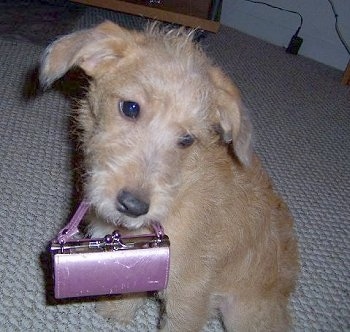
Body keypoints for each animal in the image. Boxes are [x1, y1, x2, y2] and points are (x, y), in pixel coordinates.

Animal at [40, 21, 298, 332]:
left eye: (187, 139)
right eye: (130, 108)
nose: (134, 206)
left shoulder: (189, 292)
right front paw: (117, 311)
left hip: (242, 313)